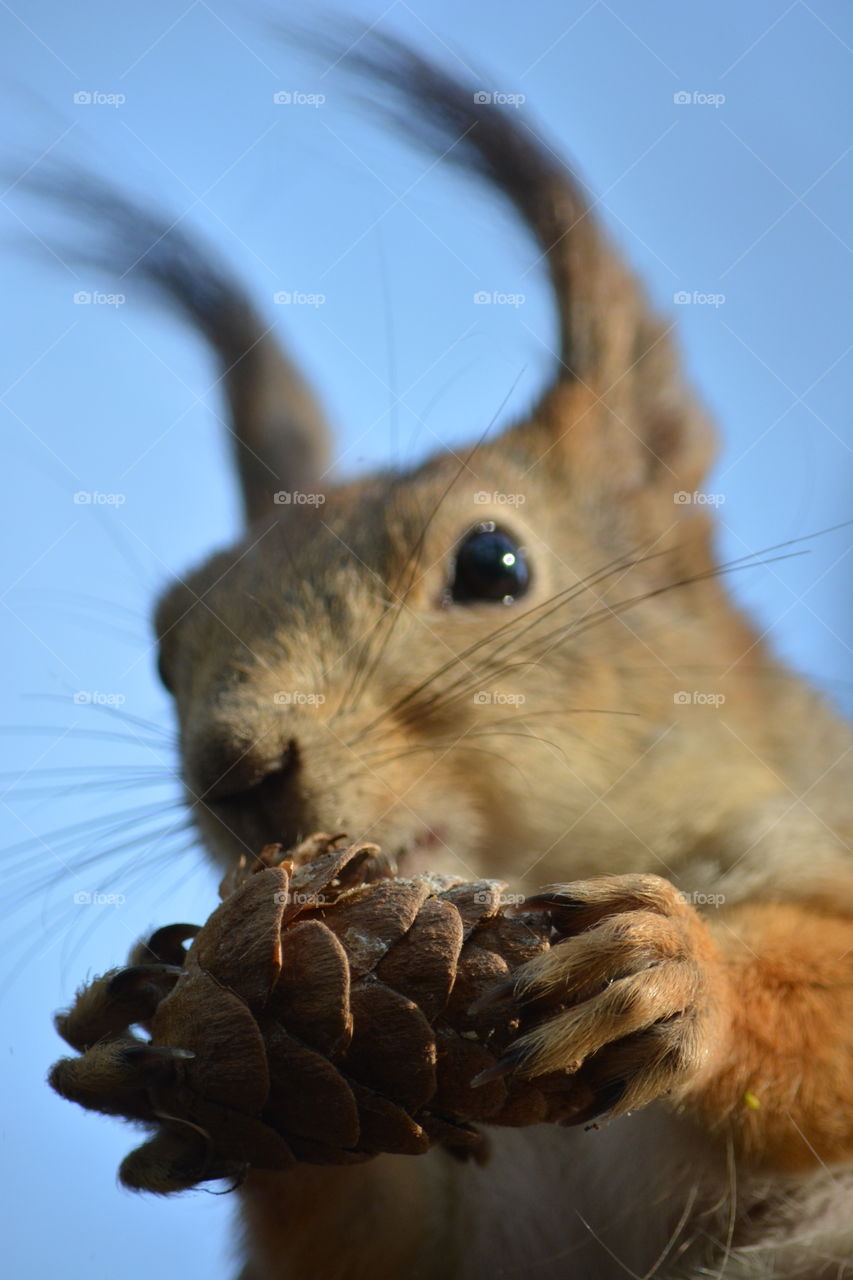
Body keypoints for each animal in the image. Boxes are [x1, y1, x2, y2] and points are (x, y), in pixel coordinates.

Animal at [48, 34, 853, 1280]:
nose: (236, 770)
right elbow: (355, 1225)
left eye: (491, 561)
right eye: (164, 641)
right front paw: (166, 1043)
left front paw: (676, 966)